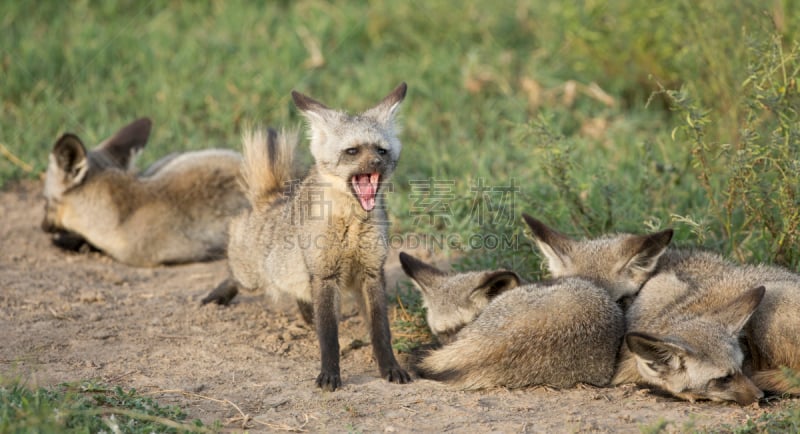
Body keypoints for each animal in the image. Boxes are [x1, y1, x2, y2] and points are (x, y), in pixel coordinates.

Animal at [205, 83, 412, 392]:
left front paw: (390, 367)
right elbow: (328, 335)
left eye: (381, 150)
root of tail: (273, 198)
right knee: (235, 275)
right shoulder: (324, 274)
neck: (351, 226)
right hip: (255, 276)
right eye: (352, 151)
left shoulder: (372, 272)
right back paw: (218, 295)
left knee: (300, 297)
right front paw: (330, 373)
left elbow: (380, 332)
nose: (376, 163)